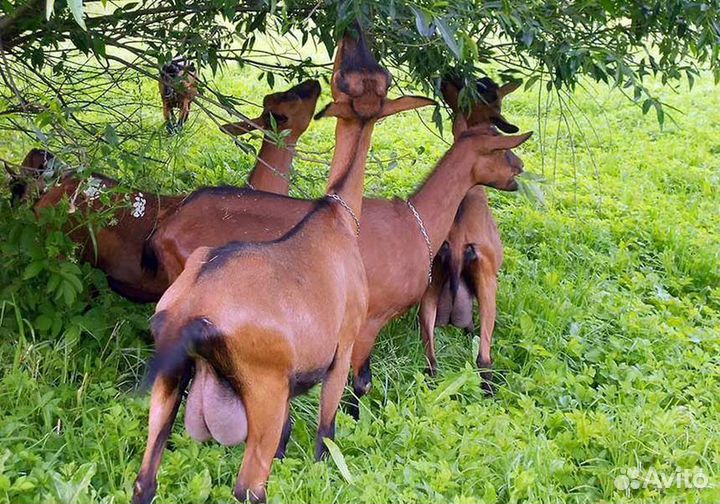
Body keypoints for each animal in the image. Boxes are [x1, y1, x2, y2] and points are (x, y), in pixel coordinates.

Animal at [132, 27, 434, 504]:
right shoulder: (343, 346)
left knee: (145, 482)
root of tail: (191, 314)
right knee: (249, 487)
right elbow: (326, 435)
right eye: (346, 77)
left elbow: (289, 440)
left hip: (171, 384)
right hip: (264, 391)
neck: (335, 216)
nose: (353, 32)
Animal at [418, 78, 521, 394]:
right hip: (488, 289)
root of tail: (457, 240)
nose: (446, 77)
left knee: (431, 358)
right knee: (483, 356)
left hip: (429, 293)